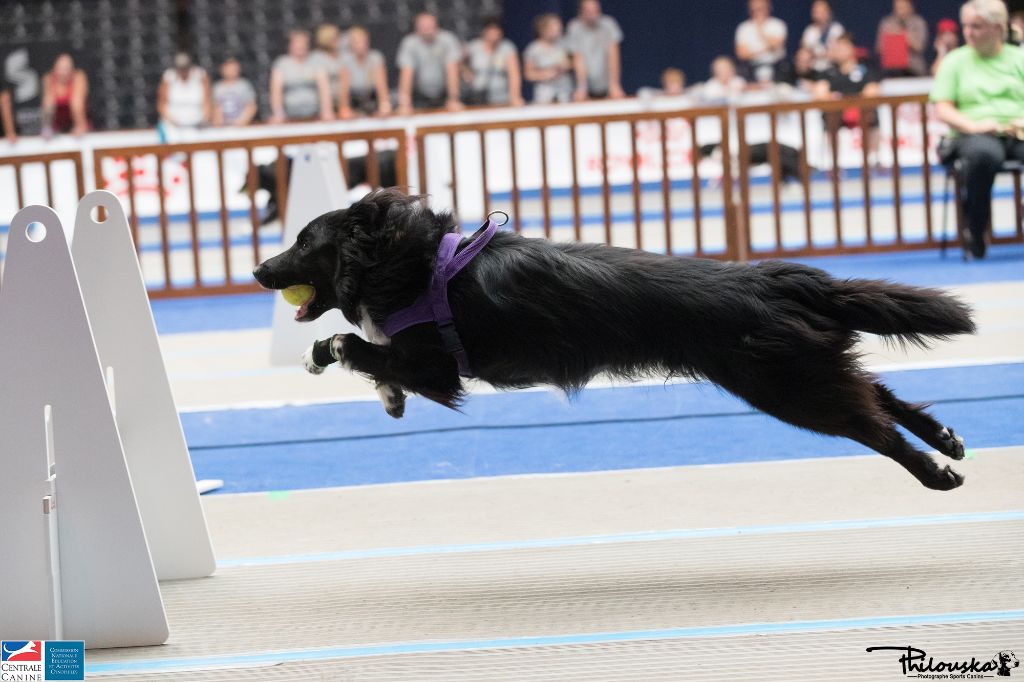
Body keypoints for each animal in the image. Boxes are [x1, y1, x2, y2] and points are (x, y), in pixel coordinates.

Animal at [253, 188, 974, 485]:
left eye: (304, 241)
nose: (258, 270)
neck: (412, 262)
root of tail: (774, 278)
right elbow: (372, 358)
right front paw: (385, 394)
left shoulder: (440, 371)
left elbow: (351, 346)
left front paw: (347, 365)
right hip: (806, 366)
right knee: (879, 393)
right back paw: (945, 439)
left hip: (786, 384)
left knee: (871, 421)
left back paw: (935, 472)